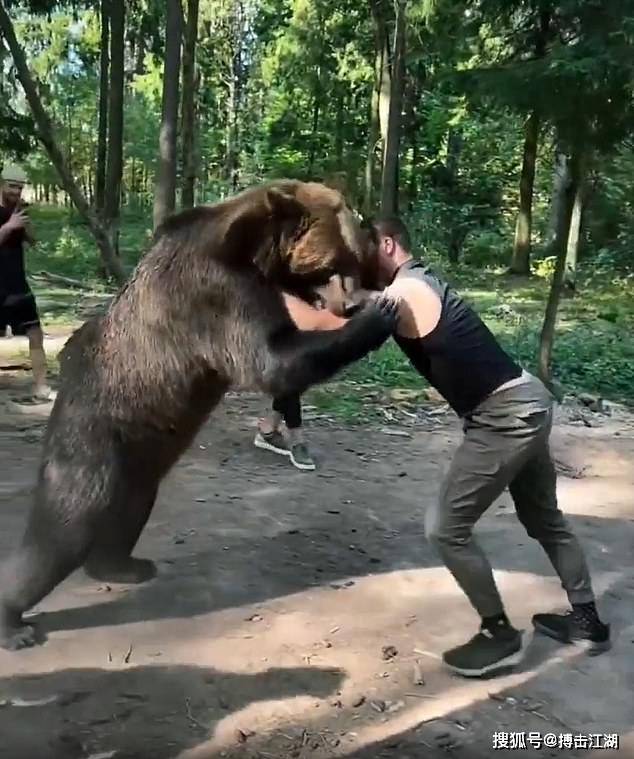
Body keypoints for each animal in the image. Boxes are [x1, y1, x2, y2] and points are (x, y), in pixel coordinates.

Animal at [0, 179, 398, 650]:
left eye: (354, 253)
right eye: (335, 260)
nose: (351, 300)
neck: (253, 250)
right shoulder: (214, 294)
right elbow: (273, 359)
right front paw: (381, 314)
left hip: (139, 460)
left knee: (130, 508)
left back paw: (124, 566)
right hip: (91, 442)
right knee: (63, 529)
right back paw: (15, 624)